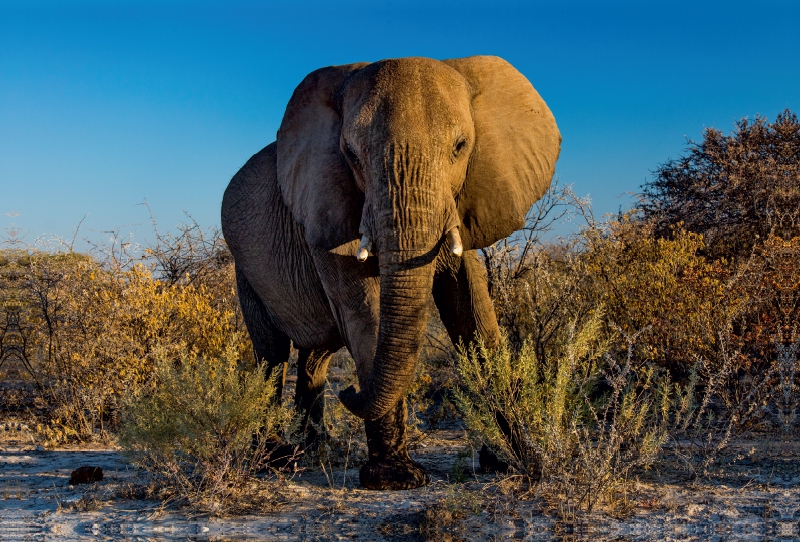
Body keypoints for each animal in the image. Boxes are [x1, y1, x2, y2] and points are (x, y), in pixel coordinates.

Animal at [217, 56, 556, 492]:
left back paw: (311, 452)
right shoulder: (326, 210)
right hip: (245, 268)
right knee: (272, 356)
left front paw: (523, 461)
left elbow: (473, 312)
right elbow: (367, 312)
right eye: (350, 154)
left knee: (314, 356)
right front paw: (396, 479)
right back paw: (273, 459)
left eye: (460, 147)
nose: (350, 391)